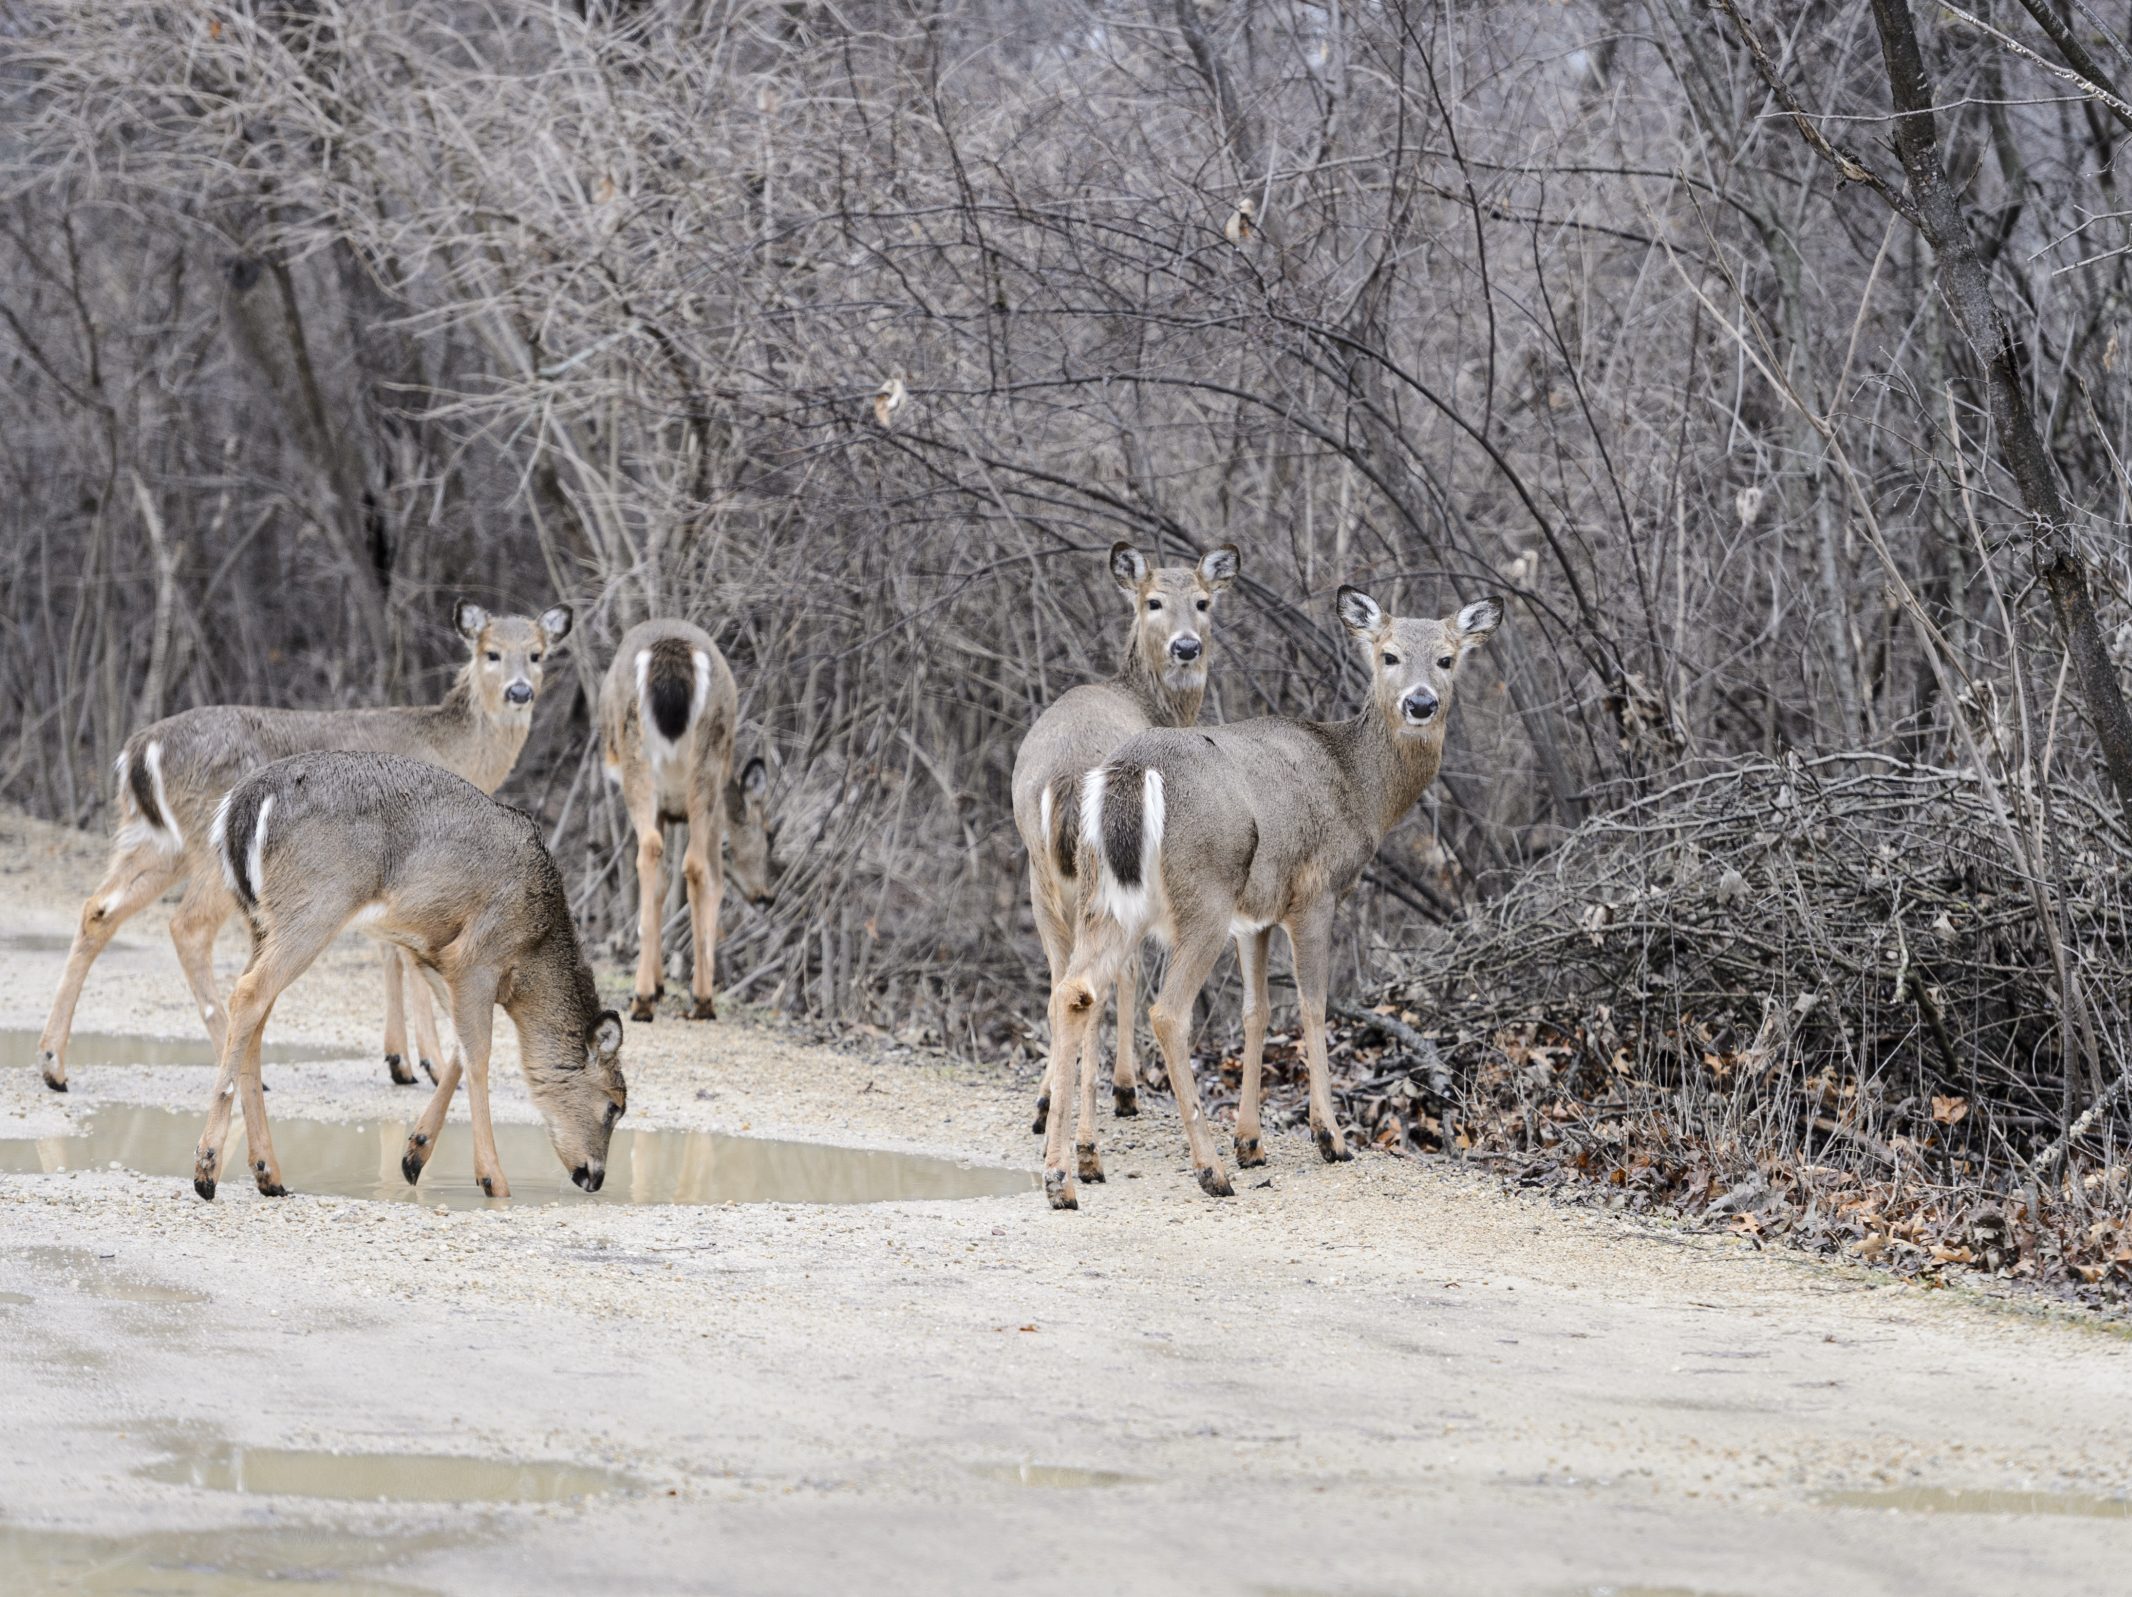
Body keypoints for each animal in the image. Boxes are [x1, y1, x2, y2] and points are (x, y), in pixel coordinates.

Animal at [33, 599, 573, 1094]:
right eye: (491, 652)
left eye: (538, 653)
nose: (519, 691)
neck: (454, 748)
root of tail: (138, 750)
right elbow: (404, 956)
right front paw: (433, 1066)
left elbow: (390, 951)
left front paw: (399, 1061)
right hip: (208, 848)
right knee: (188, 927)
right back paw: (240, 1069)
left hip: (154, 842)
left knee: (98, 910)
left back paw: (54, 1065)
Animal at [193, 750, 626, 1202]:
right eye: (615, 1105)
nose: (594, 1176)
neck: (534, 946)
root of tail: (241, 804)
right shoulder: (476, 957)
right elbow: (479, 1054)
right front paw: (493, 1179)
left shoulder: (433, 955)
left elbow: (457, 1049)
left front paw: (415, 1154)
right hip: (315, 907)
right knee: (247, 994)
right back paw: (207, 1169)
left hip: (261, 921)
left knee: (257, 1014)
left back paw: (268, 1173)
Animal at [597, 619, 779, 1023]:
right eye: (769, 834)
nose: (765, 896)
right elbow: (692, 882)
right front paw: (668, 985)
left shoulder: (667, 810)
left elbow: (663, 886)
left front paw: (660, 984)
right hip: (705, 760)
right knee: (694, 867)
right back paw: (695, 1000)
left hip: (642, 757)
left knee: (658, 856)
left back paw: (652, 998)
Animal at [1011, 541, 1239, 1142]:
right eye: (1153, 601)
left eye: (1203, 601)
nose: (1187, 646)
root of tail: (1066, 777)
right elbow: (1132, 973)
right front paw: (1125, 1089)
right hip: (1108, 872)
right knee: (1098, 982)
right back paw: (1092, 1119)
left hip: (1038, 872)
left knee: (1058, 979)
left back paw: (1047, 1106)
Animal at [1037, 585, 1502, 1209]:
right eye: (1390, 655)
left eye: (1447, 659)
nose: (1421, 703)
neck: (1358, 784)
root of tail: (1132, 773)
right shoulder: (1314, 892)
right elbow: (1312, 1005)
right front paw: (1329, 1136)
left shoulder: (1254, 915)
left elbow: (1255, 1012)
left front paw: (1252, 1142)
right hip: (1202, 893)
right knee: (1166, 1011)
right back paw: (1209, 1171)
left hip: (1108, 901)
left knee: (1074, 992)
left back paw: (1064, 1176)